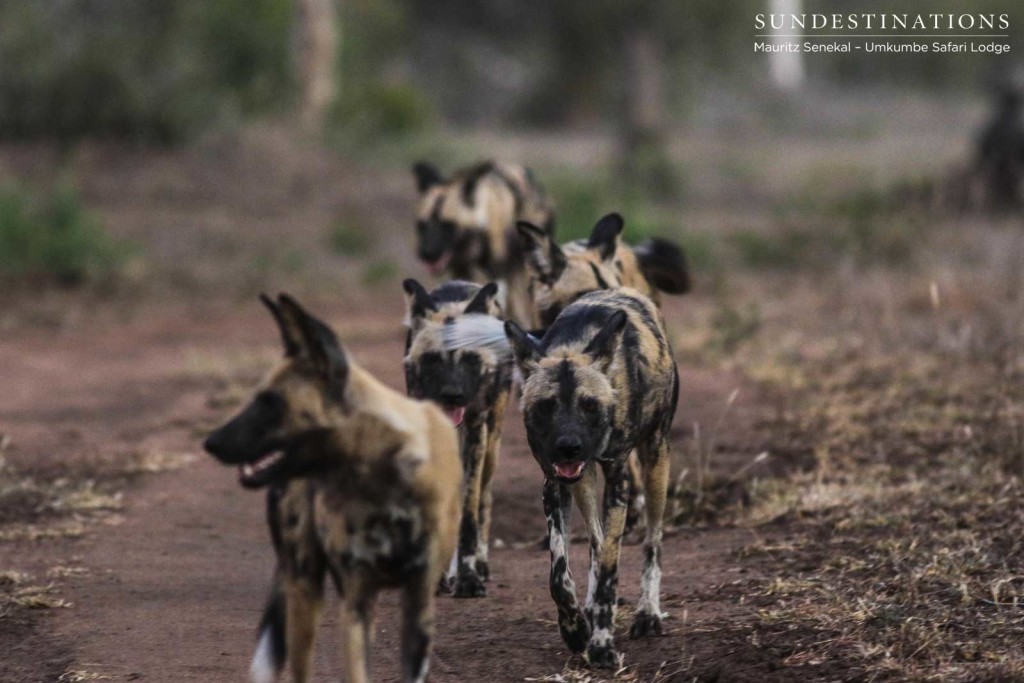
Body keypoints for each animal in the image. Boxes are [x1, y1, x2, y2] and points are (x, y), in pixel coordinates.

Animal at [203, 294, 460, 683]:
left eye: (271, 401)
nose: (211, 442)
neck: (380, 479)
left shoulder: (417, 603)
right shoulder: (356, 602)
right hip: (304, 592)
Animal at [399, 278, 512, 598]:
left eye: (470, 359)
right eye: (434, 359)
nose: (453, 394)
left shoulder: (475, 430)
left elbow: (468, 513)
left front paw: (467, 577)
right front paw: (437, 577)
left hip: (491, 445)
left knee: (483, 498)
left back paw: (481, 563)